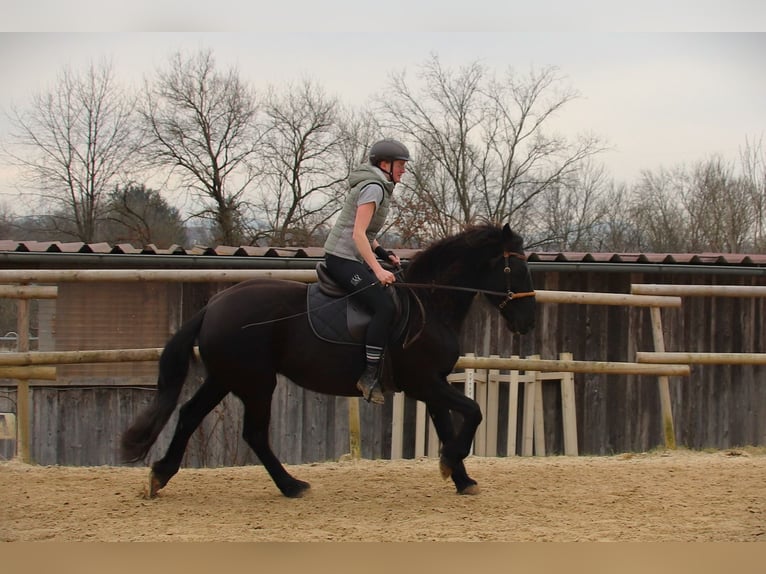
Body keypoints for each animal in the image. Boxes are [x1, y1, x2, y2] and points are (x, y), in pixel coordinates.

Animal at [123, 225, 536, 500]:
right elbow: (473, 413)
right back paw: (292, 486)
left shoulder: (433, 385)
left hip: (226, 378)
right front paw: (452, 464)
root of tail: (213, 306)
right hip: (257, 383)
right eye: (515, 268)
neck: (430, 303)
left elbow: (450, 427)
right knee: (253, 433)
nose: (528, 321)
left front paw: (460, 476)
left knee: (190, 414)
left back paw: (160, 476)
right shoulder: (424, 383)